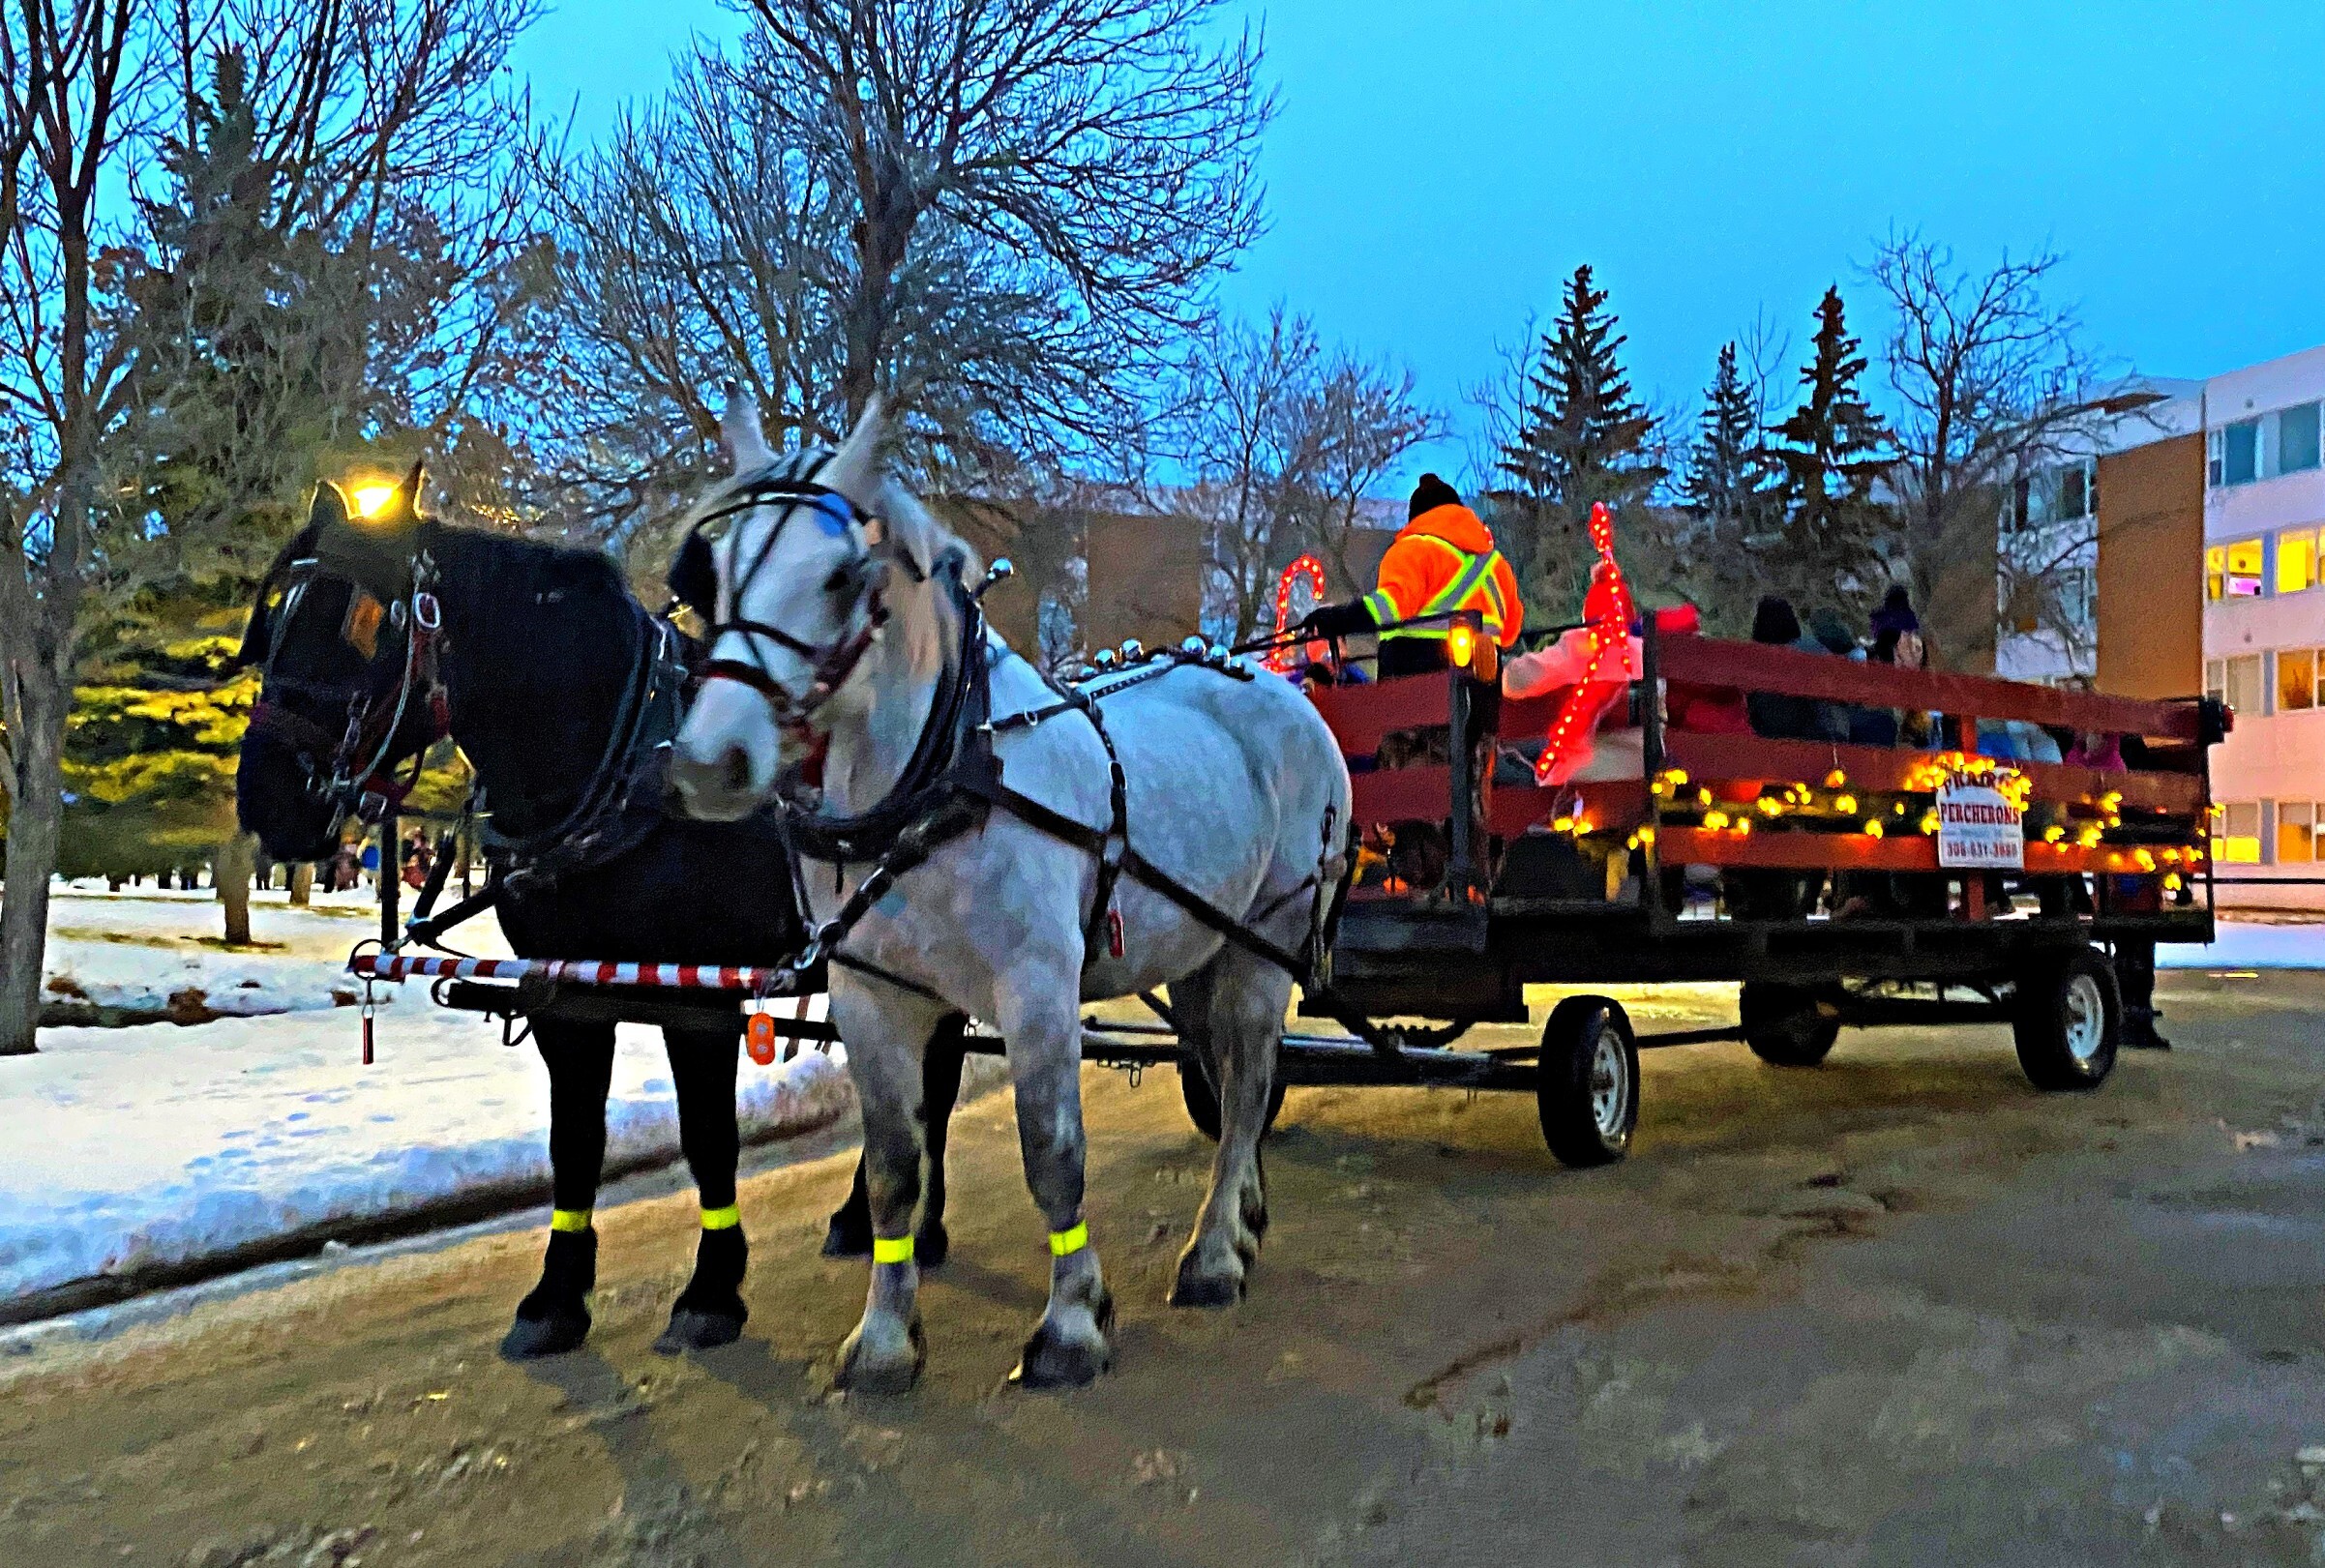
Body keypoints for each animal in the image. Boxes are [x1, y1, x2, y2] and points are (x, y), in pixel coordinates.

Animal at [235, 476, 962, 1366]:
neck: (619, 765)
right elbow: (574, 1140)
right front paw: (556, 1297)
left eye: (367, 620)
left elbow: (708, 1136)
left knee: (936, 1081)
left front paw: (712, 1290)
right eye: (274, 619)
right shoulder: (565, 991)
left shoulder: (697, 994)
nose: (265, 796)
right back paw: (865, 1218)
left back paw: (922, 1228)